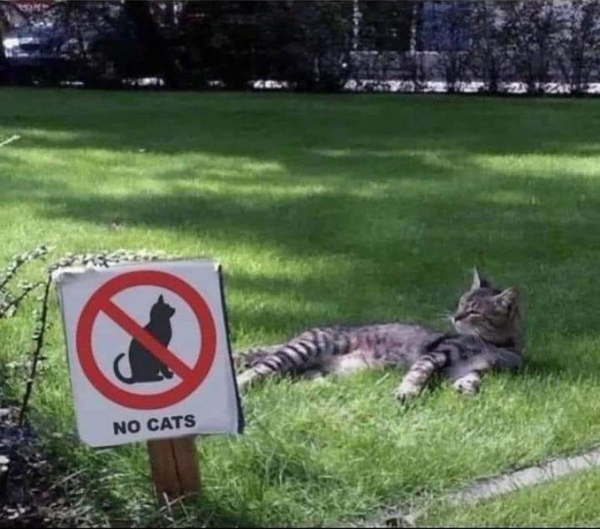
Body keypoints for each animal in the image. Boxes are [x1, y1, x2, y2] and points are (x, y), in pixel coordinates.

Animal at [234, 268, 520, 400]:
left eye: (474, 311)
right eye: (461, 303)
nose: (455, 317)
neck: (494, 345)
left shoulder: (473, 368)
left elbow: (474, 377)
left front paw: (466, 388)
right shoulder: (437, 354)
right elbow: (419, 371)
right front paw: (407, 391)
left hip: (311, 369)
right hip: (307, 348)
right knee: (260, 368)